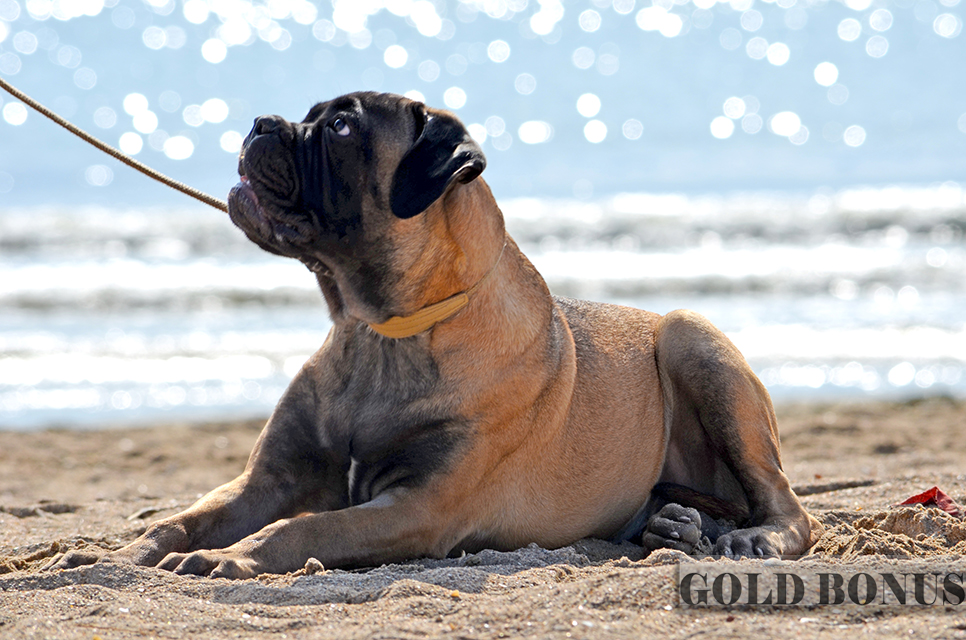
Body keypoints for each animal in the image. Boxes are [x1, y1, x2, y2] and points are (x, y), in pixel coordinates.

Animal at [49, 91, 824, 580]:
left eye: (340, 128)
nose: (261, 122)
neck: (380, 333)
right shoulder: (269, 478)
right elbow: (179, 520)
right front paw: (112, 557)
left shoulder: (417, 506)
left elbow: (302, 529)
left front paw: (226, 559)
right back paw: (674, 529)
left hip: (695, 340)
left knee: (789, 506)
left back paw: (750, 537)